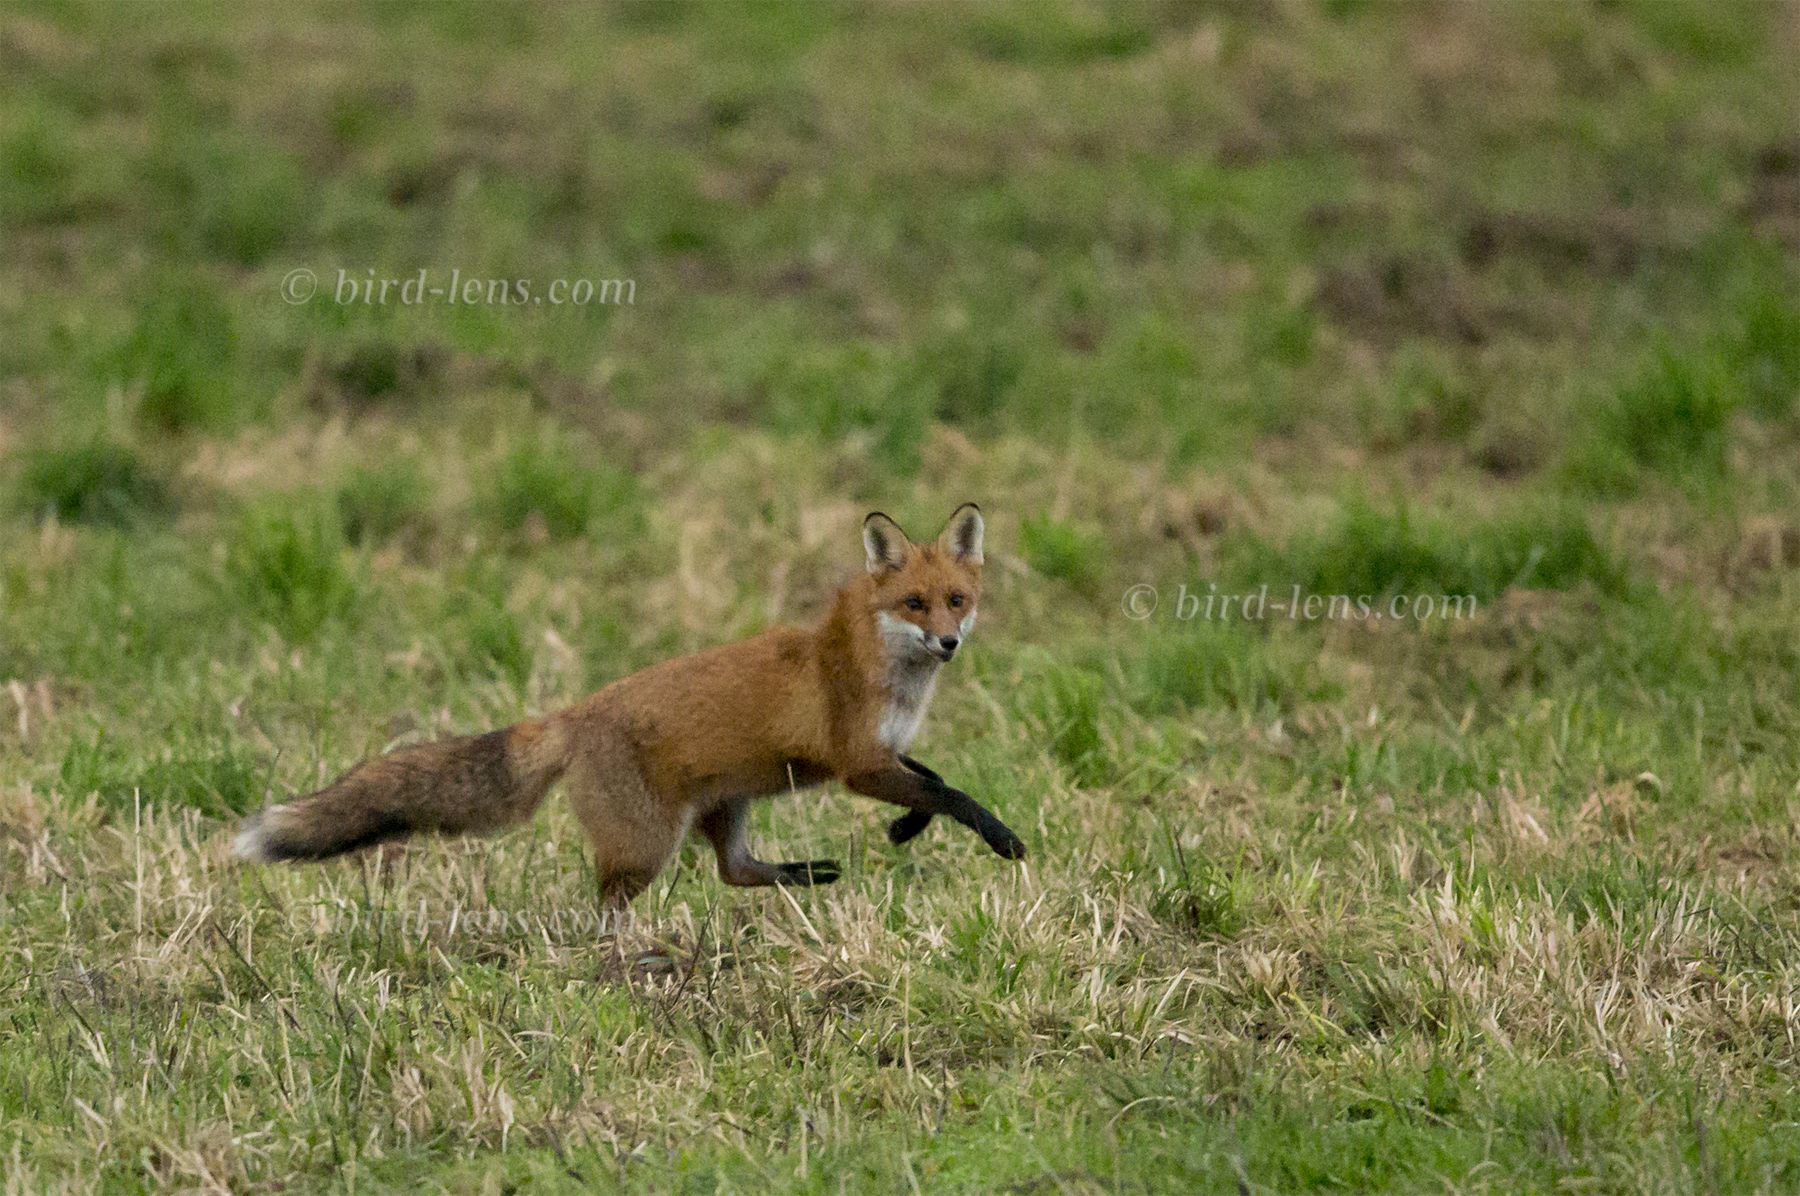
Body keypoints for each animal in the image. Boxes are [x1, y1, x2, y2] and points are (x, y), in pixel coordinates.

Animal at [232, 503, 1026, 909]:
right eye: (914, 603)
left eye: (958, 600)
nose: (949, 641)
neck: (879, 668)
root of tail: (575, 714)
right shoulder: (859, 761)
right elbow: (953, 795)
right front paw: (1002, 838)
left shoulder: (884, 754)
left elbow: (934, 783)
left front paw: (905, 829)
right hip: (647, 844)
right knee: (614, 902)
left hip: (725, 805)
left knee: (735, 870)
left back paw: (809, 875)